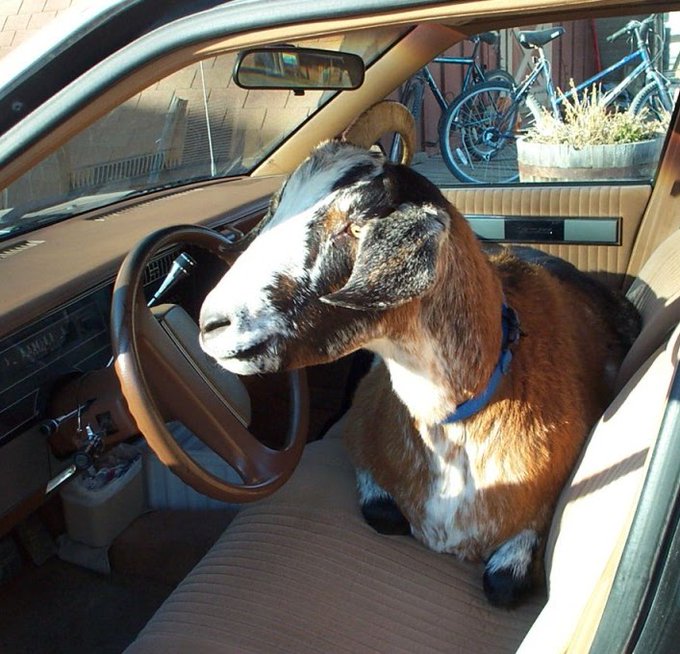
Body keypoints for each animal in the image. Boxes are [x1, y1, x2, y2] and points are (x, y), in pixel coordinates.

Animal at [199, 140, 641, 607]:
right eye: (275, 209)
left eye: (352, 226)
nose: (212, 324)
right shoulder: (360, 423)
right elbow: (382, 512)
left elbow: (504, 584)